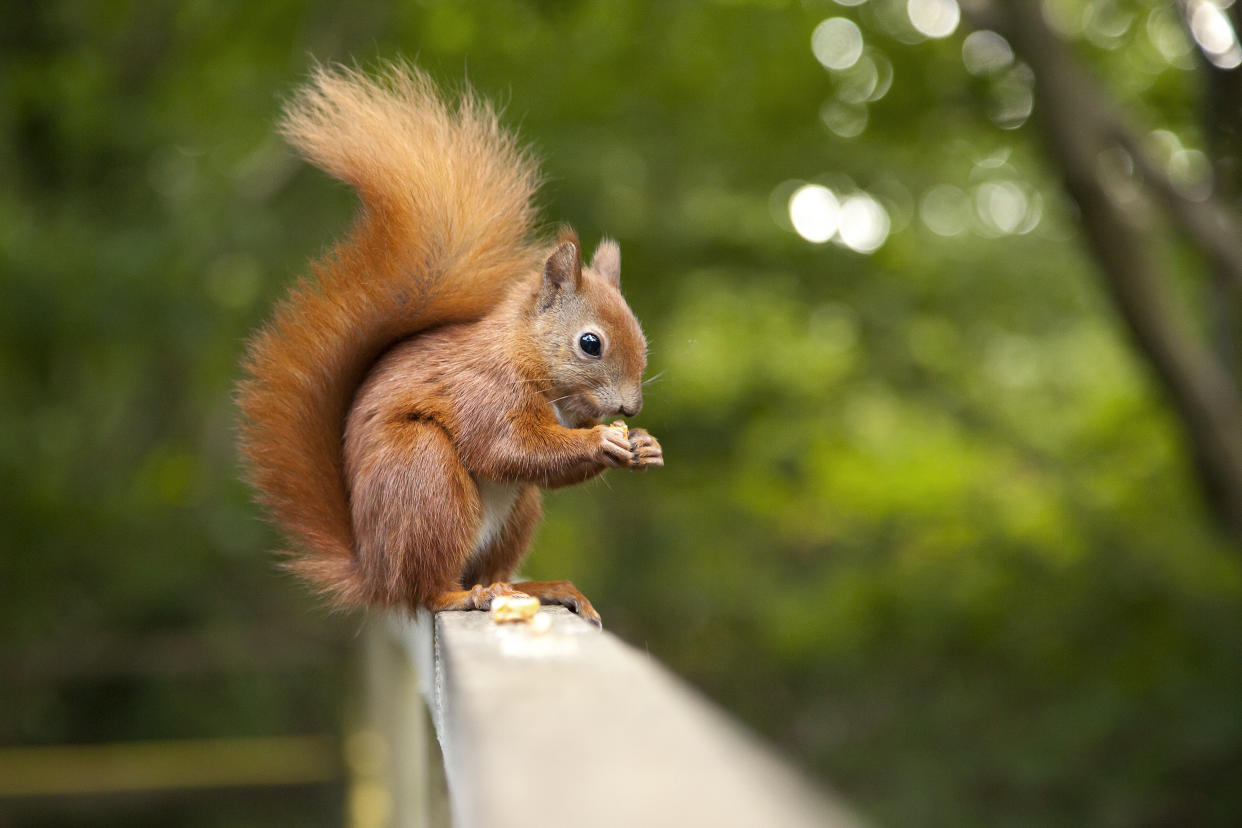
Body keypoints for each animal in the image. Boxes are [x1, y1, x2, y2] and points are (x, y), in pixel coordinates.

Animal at [233, 61, 660, 625]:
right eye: (590, 343)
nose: (631, 410)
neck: (525, 357)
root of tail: (375, 572)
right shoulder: (483, 391)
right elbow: (510, 447)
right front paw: (601, 441)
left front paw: (645, 445)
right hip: (425, 477)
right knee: (428, 588)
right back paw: (463, 595)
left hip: (514, 513)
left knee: (489, 566)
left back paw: (536, 587)